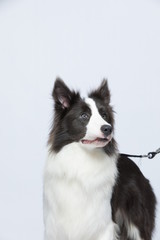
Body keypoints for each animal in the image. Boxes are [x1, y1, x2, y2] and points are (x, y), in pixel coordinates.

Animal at [43, 79, 156, 240]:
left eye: (104, 115)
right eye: (84, 116)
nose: (108, 128)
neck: (83, 159)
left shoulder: (103, 224)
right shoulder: (56, 225)